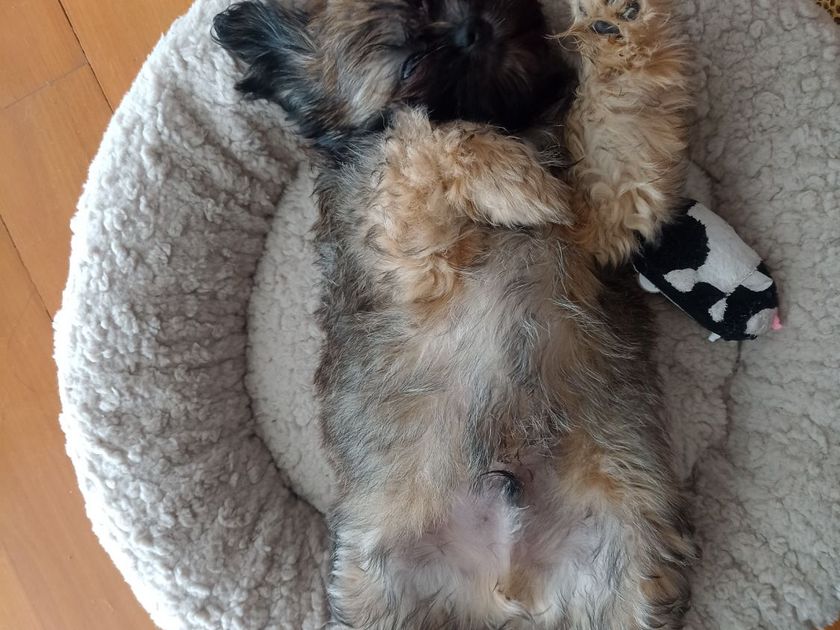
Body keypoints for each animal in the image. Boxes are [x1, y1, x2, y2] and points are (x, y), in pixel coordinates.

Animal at [214, 0, 697, 627]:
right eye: (414, 62)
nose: (474, 29)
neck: (513, 122)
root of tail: (506, 588)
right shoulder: (406, 251)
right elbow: (417, 142)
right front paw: (513, 181)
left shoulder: (605, 212)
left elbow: (619, 124)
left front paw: (619, 30)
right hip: (377, 585)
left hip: (630, 556)